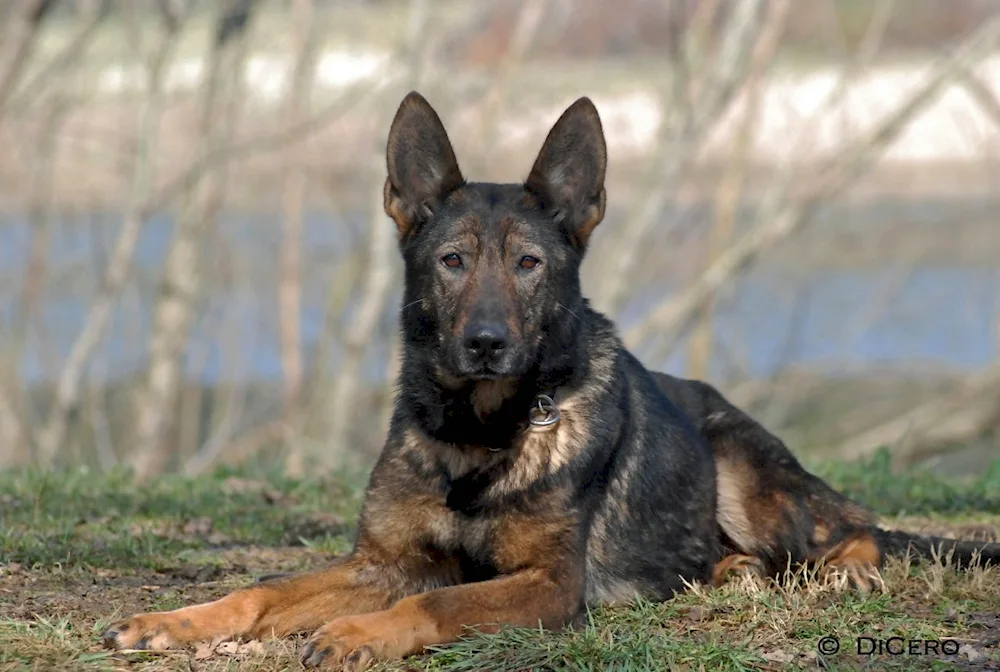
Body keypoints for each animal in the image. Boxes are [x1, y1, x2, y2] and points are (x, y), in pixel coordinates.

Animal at [101, 92, 1000, 668]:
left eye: (530, 265)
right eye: (453, 261)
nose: (487, 343)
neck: (479, 432)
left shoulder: (545, 584)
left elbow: (431, 603)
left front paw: (360, 634)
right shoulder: (379, 562)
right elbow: (262, 591)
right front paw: (176, 620)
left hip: (744, 470)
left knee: (851, 530)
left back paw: (840, 569)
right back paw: (729, 572)